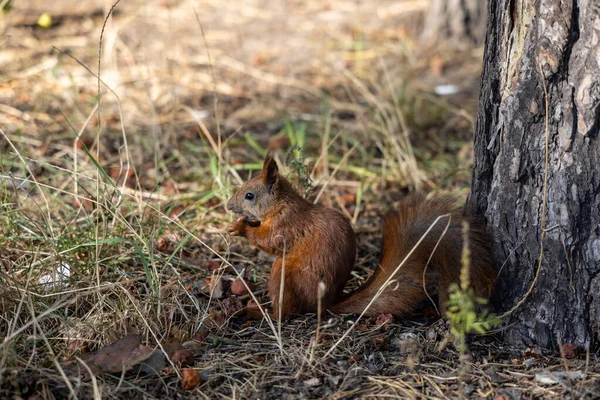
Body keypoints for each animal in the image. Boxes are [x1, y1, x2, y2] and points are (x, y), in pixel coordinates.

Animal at [227, 150, 494, 318]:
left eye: (250, 195)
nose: (229, 206)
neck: (282, 205)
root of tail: (325, 304)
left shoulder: (286, 225)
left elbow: (269, 241)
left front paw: (239, 227)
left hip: (285, 274)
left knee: (288, 311)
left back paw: (263, 313)